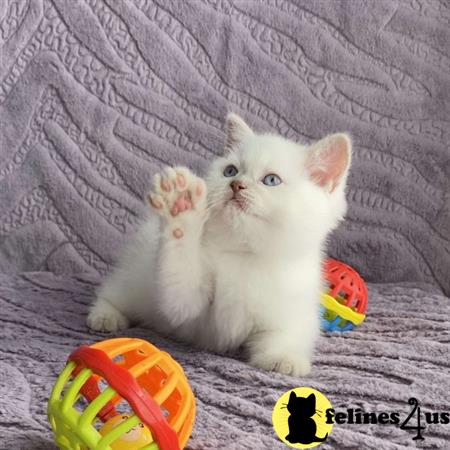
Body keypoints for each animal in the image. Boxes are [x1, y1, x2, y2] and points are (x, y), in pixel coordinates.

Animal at [86, 113, 350, 376]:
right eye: (230, 171)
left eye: (271, 180)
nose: (236, 184)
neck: (245, 253)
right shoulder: (189, 313)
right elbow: (180, 288)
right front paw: (180, 208)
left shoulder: (294, 307)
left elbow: (285, 335)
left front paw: (283, 359)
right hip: (136, 279)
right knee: (114, 291)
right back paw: (105, 316)